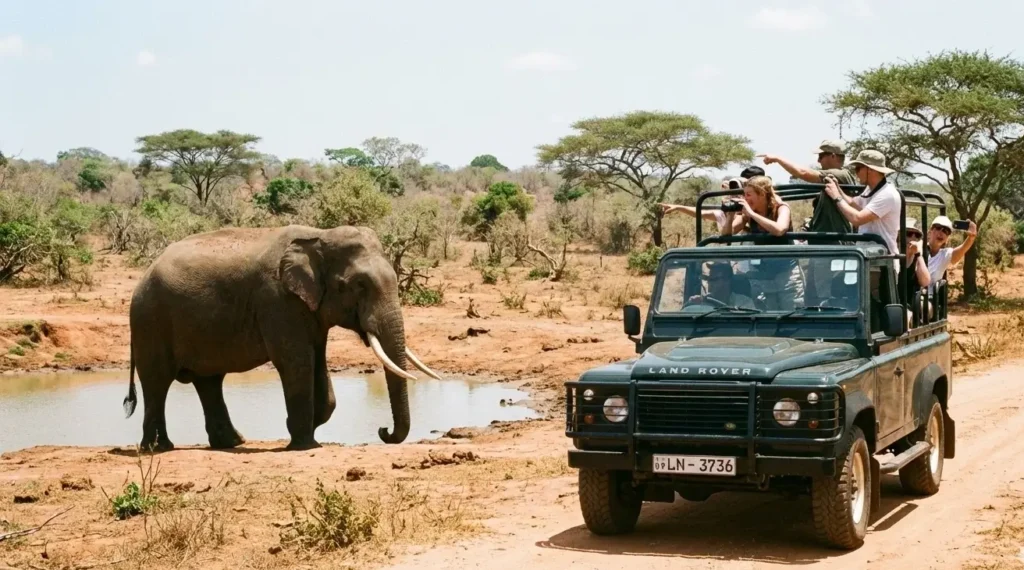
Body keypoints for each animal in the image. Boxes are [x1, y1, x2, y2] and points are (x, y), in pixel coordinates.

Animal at [121, 224, 441, 451]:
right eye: (357, 285)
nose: (383, 431)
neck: (319, 235)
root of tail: (142, 277)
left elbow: (318, 362)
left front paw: (308, 429)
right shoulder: (277, 300)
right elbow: (296, 362)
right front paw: (303, 444)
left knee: (208, 382)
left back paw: (231, 443)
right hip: (151, 321)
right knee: (158, 382)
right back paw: (158, 448)